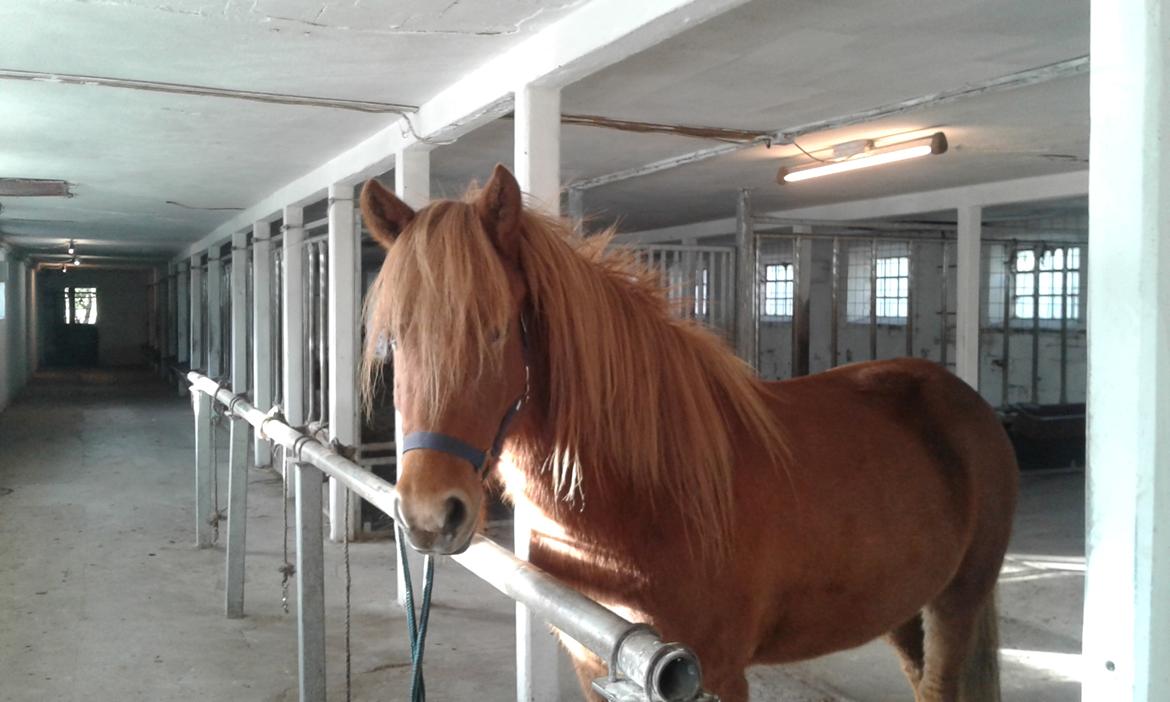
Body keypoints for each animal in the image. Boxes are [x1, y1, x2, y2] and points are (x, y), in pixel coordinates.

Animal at [355, 166, 1015, 702]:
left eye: (494, 330)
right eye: (395, 339)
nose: (428, 515)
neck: (649, 495)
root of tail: (964, 400)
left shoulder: (715, 675)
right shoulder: (594, 665)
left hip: (957, 601)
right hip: (904, 607)